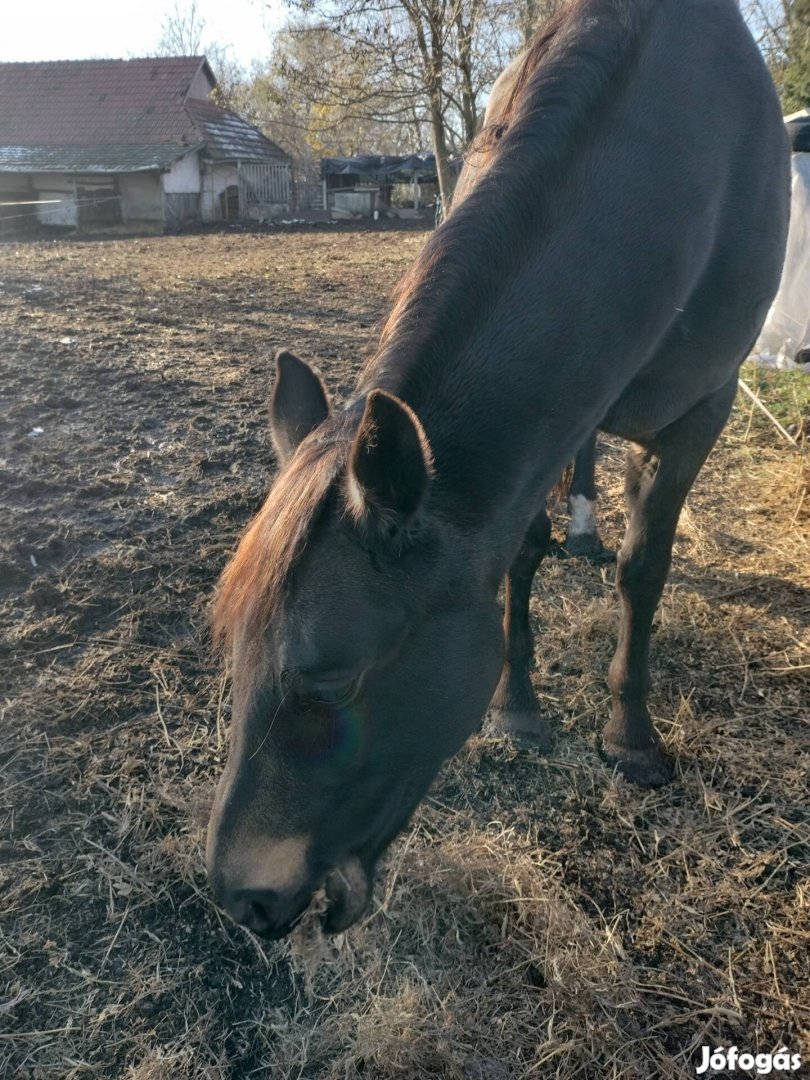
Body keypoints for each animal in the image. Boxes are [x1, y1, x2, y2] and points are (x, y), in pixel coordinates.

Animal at [206, 0, 790, 941]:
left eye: (330, 678)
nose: (241, 898)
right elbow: (520, 550)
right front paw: (518, 704)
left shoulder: (703, 411)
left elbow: (645, 569)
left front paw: (630, 735)